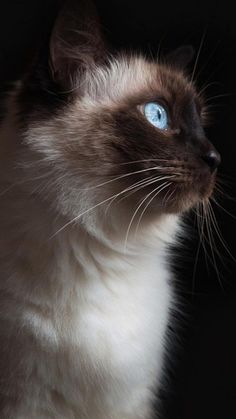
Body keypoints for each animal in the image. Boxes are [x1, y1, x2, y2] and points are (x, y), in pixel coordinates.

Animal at [0, 0, 220, 419]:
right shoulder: (24, 403)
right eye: (157, 116)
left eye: (202, 124)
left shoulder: (131, 402)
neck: (111, 254)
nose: (216, 158)